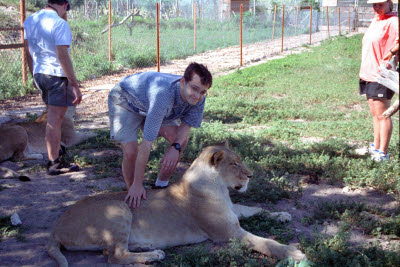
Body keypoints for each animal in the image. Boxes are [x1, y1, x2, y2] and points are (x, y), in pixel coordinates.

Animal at [49, 144, 306, 266]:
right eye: (234, 164)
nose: (251, 175)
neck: (219, 188)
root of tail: (56, 227)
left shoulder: (233, 212)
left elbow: (255, 209)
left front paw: (281, 214)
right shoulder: (227, 232)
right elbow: (264, 242)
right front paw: (292, 252)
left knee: (110, 250)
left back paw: (144, 246)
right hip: (119, 208)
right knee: (114, 255)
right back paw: (154, 255)